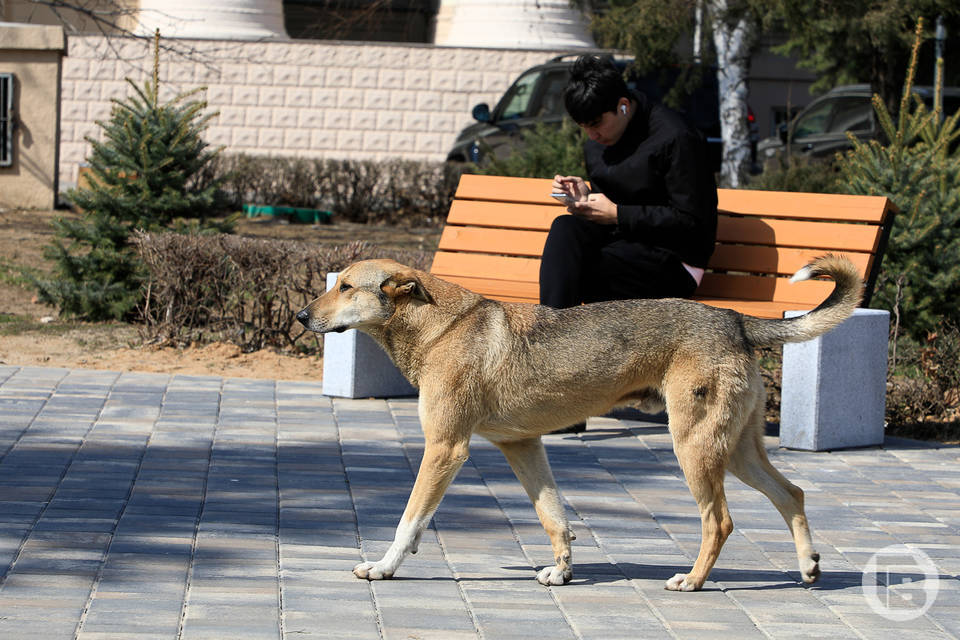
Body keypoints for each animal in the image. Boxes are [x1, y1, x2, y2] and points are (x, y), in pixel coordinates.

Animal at [294, 254, 864, 592]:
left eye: (347, 287)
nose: (301, 316)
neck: (441, 326)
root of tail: (734, 318)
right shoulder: (523, 446)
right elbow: (554, 517)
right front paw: (563, 571)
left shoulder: (445, 448)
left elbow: (409, 520)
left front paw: (383, 567)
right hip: (737, 449)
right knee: (792, 494)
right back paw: (809, 568)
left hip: (695, 448)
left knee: (719, 521)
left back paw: (693, 580)